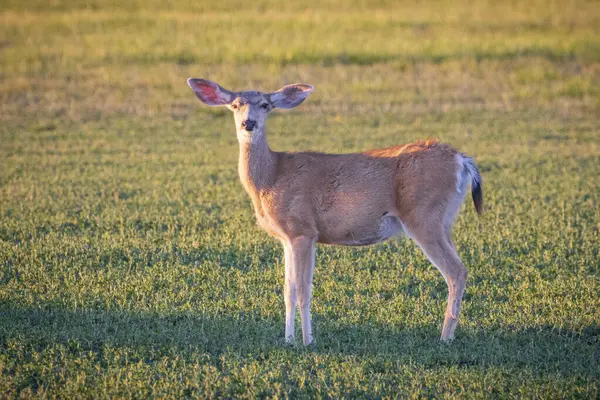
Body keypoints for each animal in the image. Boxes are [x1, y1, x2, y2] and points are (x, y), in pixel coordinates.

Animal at [188, 77, 482, 344]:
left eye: (265, 104)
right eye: (235, 104)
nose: (249, 123)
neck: (271, 177)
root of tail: (461, 160)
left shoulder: (303, 230)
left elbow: (303, 290)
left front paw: (307, 342)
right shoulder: (287, 237)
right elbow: (288, 289)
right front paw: (288, 339)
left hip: (423, 215)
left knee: (457, 271)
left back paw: (445, 337)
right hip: (444, 220)